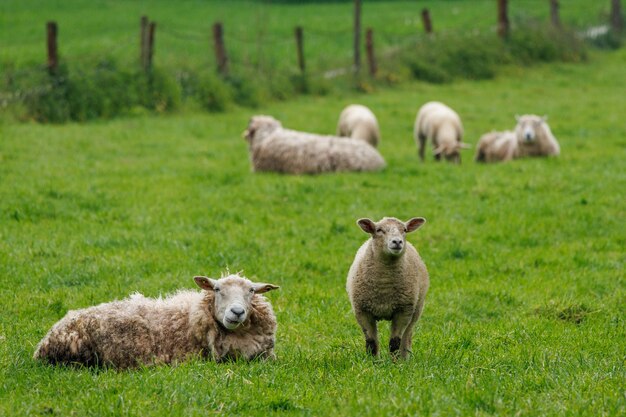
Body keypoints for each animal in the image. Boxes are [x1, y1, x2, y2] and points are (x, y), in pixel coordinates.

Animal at [346, 214, 428, 358]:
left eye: (404, 230)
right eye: (379, 230)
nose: (397, 242)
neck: (384, 286)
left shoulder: (403, 311)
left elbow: (395, 342)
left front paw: (394, 362)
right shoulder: (362, 311)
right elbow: (371, 343)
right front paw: (373, 361)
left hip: (416, 309)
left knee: (407, 336)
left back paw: (405, 358)